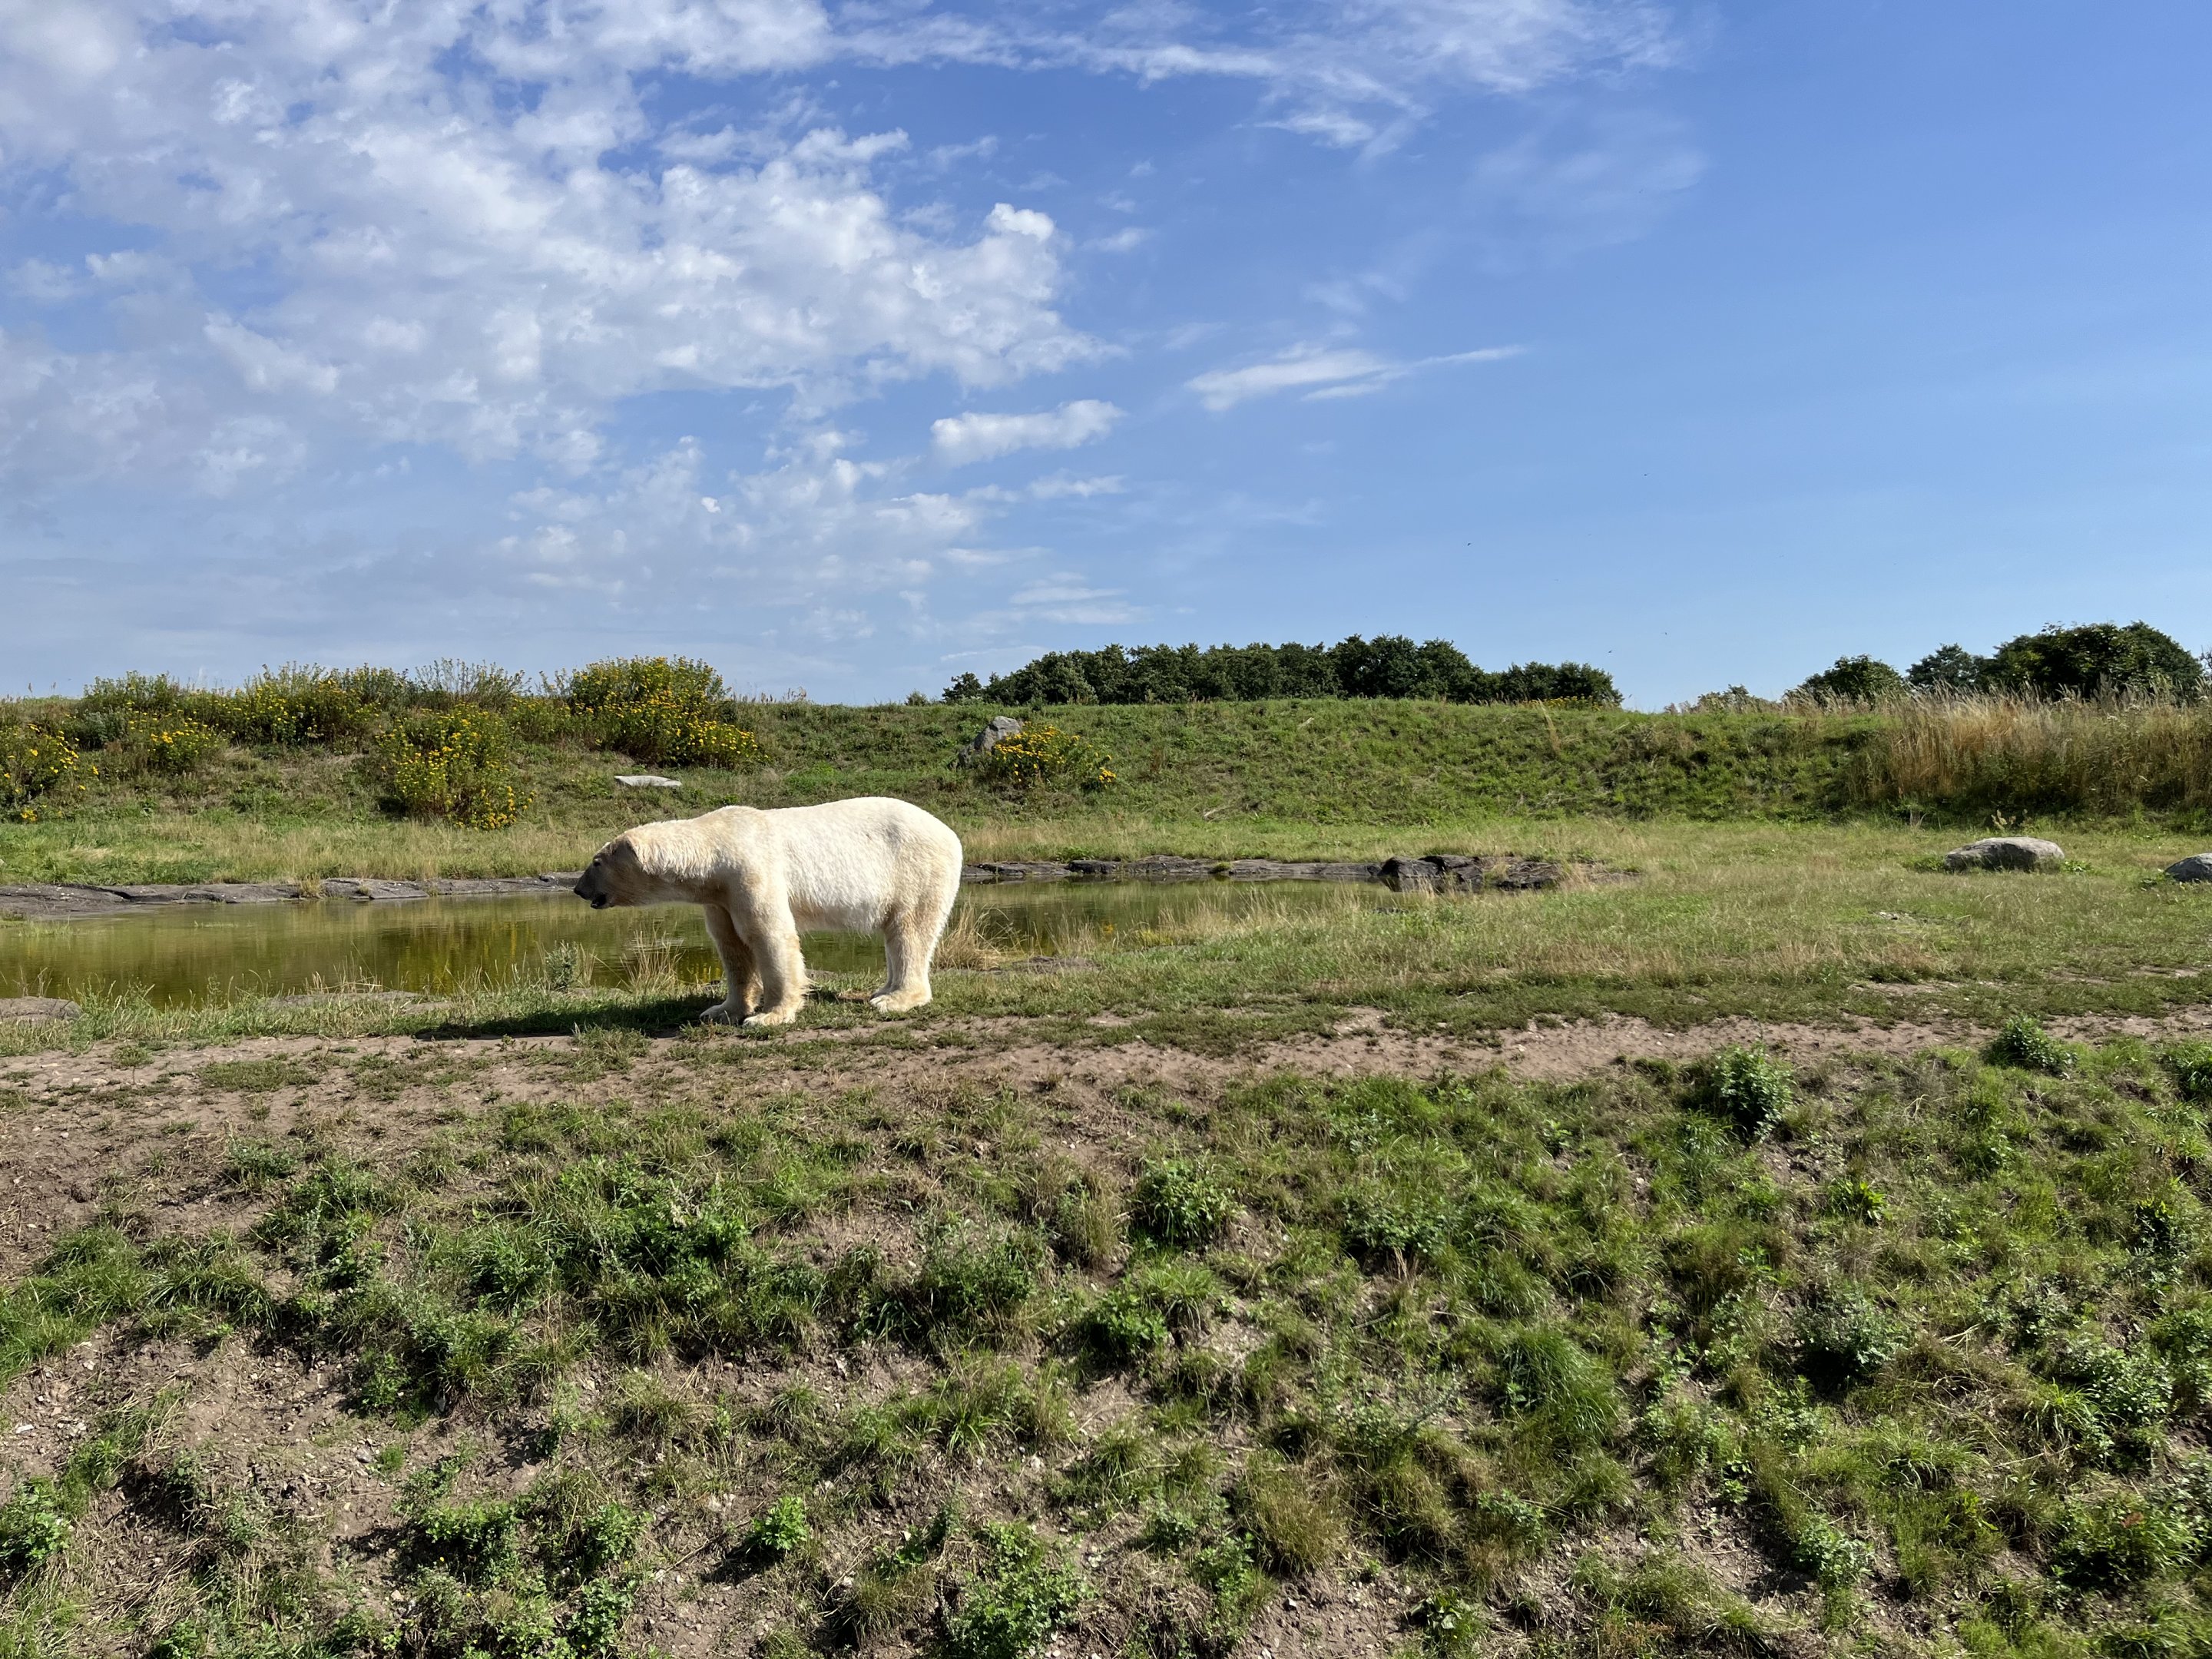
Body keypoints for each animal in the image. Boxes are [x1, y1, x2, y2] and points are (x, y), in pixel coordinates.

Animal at [571, 797, 963, 1026]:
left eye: (596, 862)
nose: (577, 889)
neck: (715, 850)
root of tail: (951, 833)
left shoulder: (750, 870)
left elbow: (769, 935)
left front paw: (769, 1016)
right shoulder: (720, 896)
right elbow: (731, 946)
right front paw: (721, 1010)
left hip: (914, 869)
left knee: (910, 930)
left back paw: (895, 999)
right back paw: (883, 990)